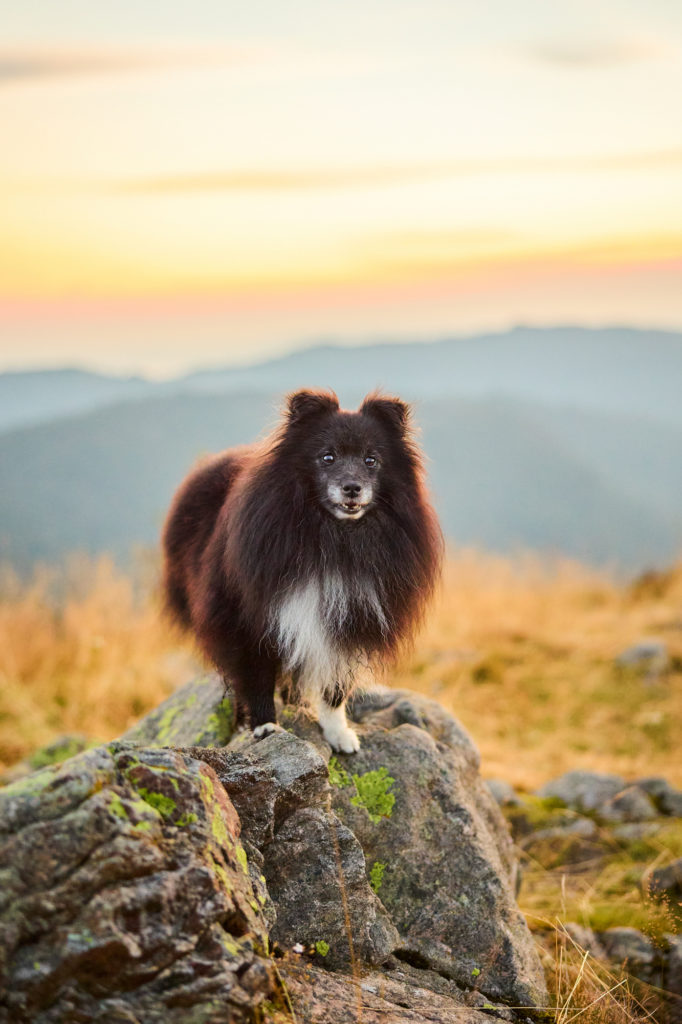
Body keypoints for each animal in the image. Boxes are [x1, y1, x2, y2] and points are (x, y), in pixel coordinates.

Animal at [163, 387, 440, 749]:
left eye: (371, 460)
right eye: (327, 457)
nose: (352, 488)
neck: (331, 536)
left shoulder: (351, 615)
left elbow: (336, 686)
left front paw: (338, 733)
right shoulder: (249, 614)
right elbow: (255, 673)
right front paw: (264, 725)